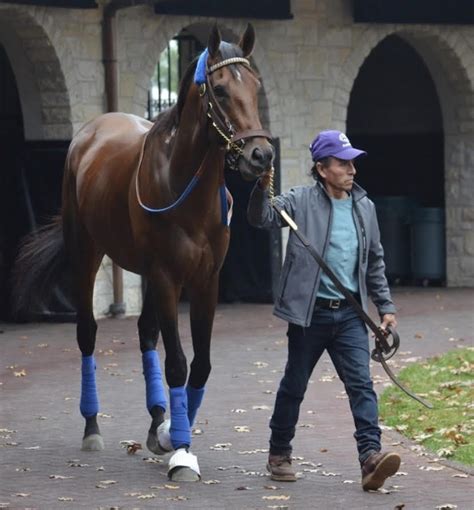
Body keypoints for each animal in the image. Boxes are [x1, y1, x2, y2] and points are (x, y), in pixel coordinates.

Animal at [13, 23, 274, 480]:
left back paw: (156, 422)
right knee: (88, 334)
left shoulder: (205, 281)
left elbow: (200, 364)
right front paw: (182, 450)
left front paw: (171, 433)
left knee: (145, 333)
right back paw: (92, 427)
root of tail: (92, 131)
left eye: (256, 84)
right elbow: (178, 363)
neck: (183, 184)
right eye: (221, 90)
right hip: (87, 255)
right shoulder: (169, 277)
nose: (261, 155)